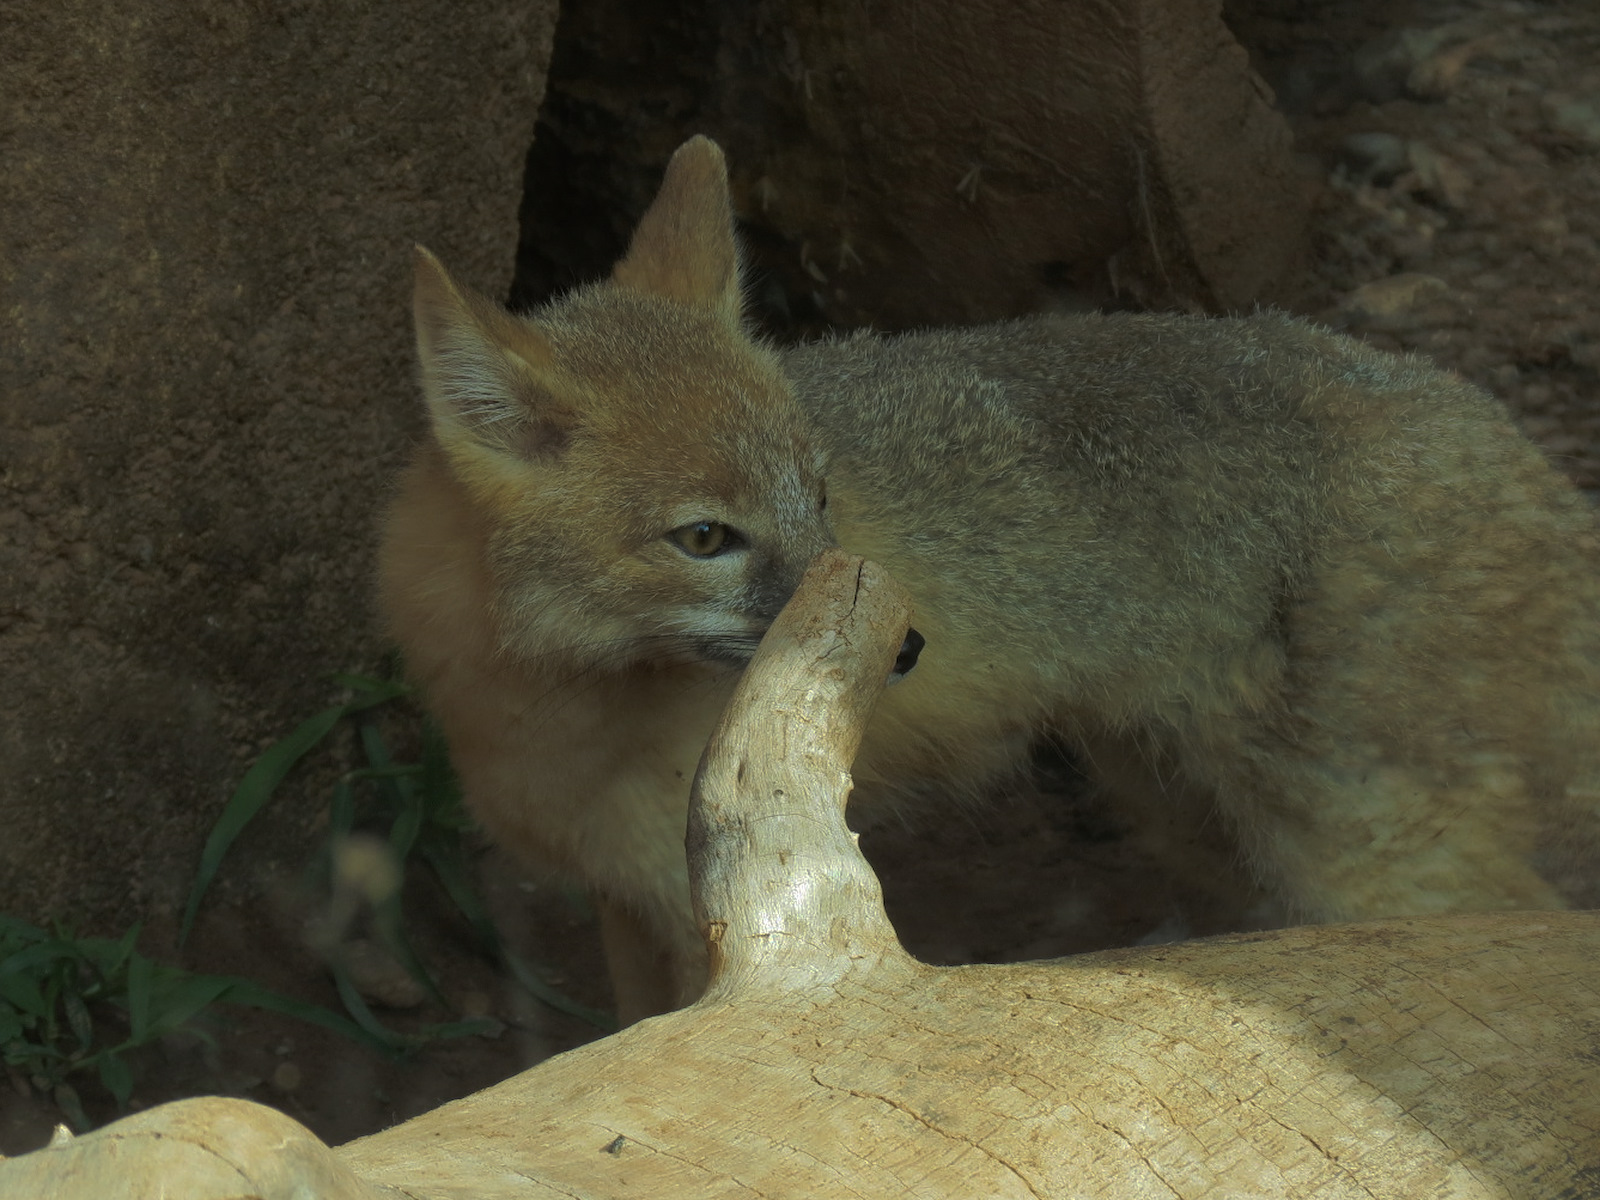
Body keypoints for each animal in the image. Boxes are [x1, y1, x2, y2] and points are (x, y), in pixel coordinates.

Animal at [380, 135, 1600, 1023]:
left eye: (819, 495)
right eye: (704, 536)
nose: (910, 645)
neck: (538, 700)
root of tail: (1521, 454)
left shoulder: (701, 920)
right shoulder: (624, 902)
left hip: (1360, 852)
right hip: (1179, 799)